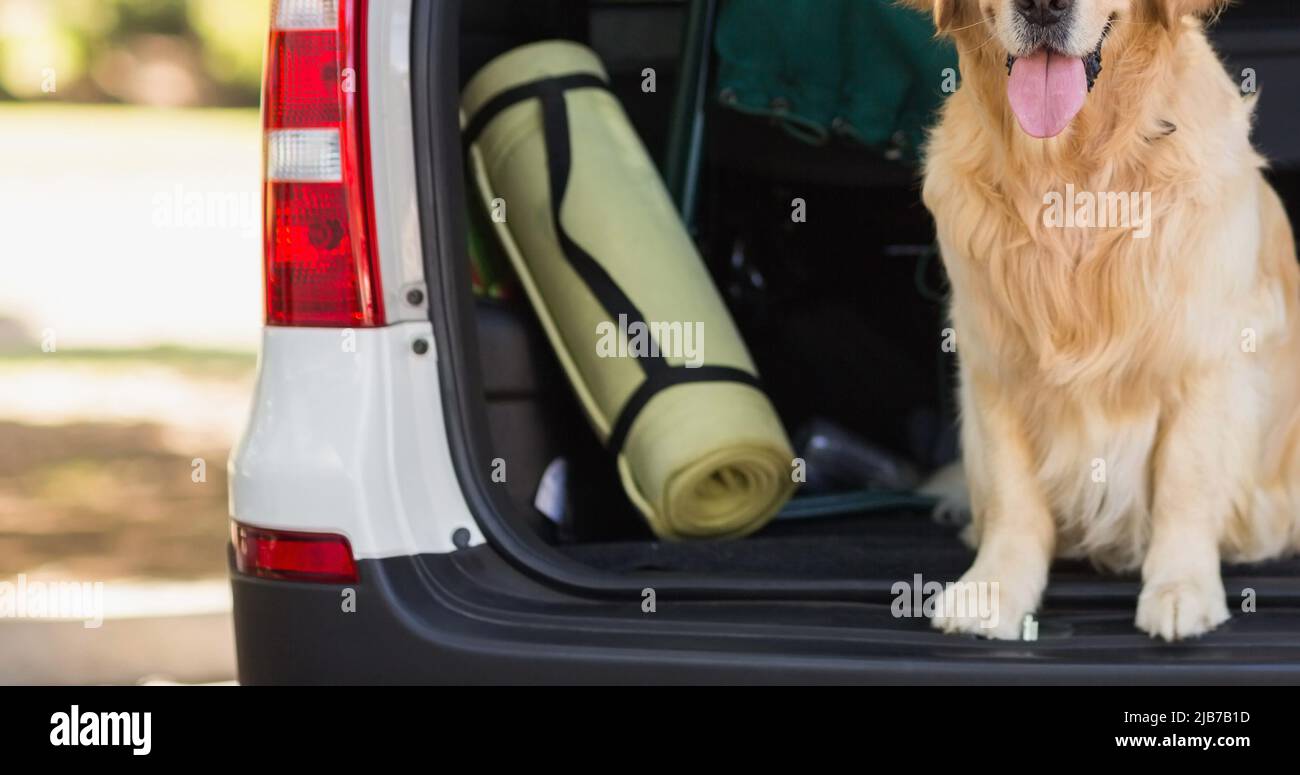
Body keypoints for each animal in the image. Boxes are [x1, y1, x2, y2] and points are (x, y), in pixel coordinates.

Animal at [899, 1, 1300, 642]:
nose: (1043, 5)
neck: (1073, 171)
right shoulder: (993, 355)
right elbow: (1013, 493)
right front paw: (995, 589)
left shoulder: (1205, 352)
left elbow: (1187, 479)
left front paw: (1181, 588)